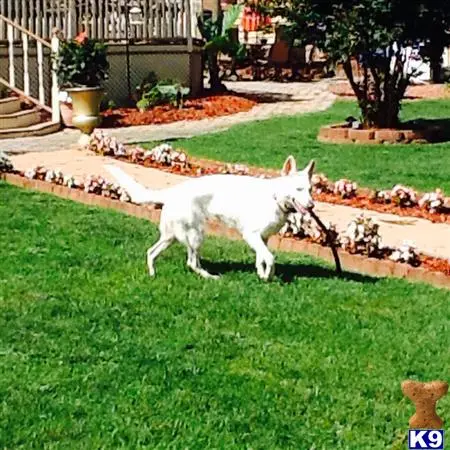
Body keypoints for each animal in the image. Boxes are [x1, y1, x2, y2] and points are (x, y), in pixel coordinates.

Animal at [107, 156, 314, 280]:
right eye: (298, 189)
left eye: (310, 190)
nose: (312, 206)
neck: (274, 196)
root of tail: (172, 192)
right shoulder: (251, 235)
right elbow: (270, 258)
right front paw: (268, 276)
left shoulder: (262, 238)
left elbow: (261, 258)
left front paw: (261, 274)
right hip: (196, 235)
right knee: (191, 263)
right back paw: (211, 277)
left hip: (171, 237)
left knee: (152, 252)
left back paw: (152, 273)